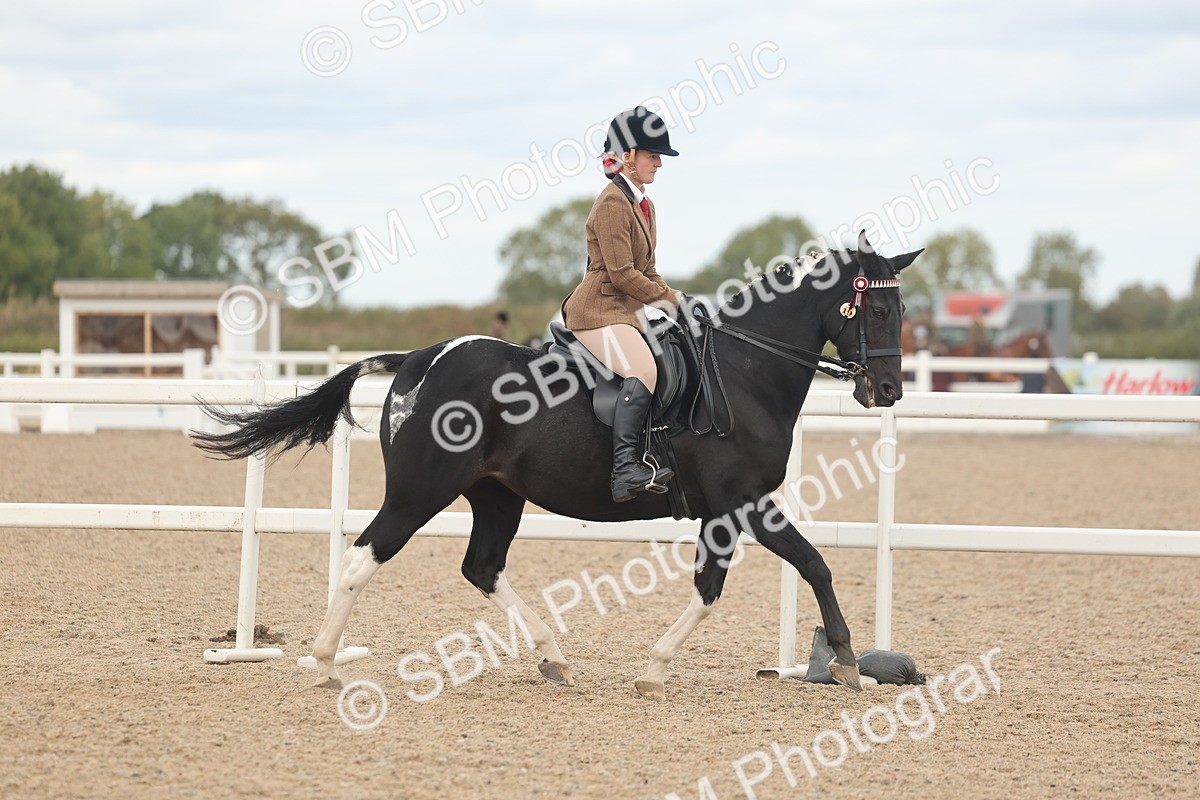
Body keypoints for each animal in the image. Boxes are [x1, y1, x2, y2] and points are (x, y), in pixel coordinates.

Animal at [192, 232, 920, 700]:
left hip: (495, 495)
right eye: (881, 307)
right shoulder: (742, 501)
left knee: (481, 567)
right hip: (419, 492)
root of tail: (421, 359)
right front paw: (847, 661)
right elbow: (812, 564)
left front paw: (655, 670)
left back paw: (554, 659)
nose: (888, 391)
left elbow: (713, 587)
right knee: (362, 557)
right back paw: (324, 665)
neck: (745, 370)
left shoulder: (723, 512)